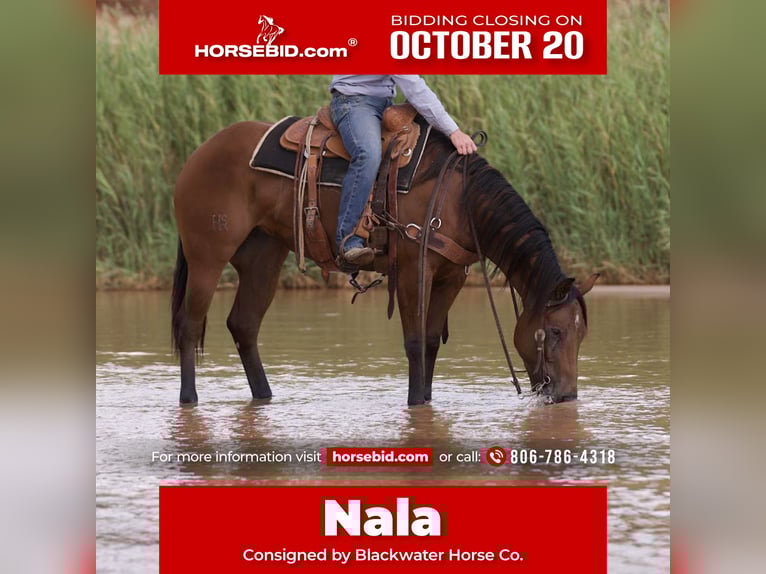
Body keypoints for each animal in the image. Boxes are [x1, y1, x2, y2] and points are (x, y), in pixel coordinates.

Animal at [170, 119, 599, 406]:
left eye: (582, 333)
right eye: (556, 331)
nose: (567, 396)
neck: (457, 199)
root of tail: (199, 153)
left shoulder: (451, 277)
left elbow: (431, 340)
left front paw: (426, 401)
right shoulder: (412, 271)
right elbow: (414, 341)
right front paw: (414, 404)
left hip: (264, 256)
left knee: (243, 325)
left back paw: (264, 396)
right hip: (206, 257)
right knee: (189, 326)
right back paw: (189, 398)